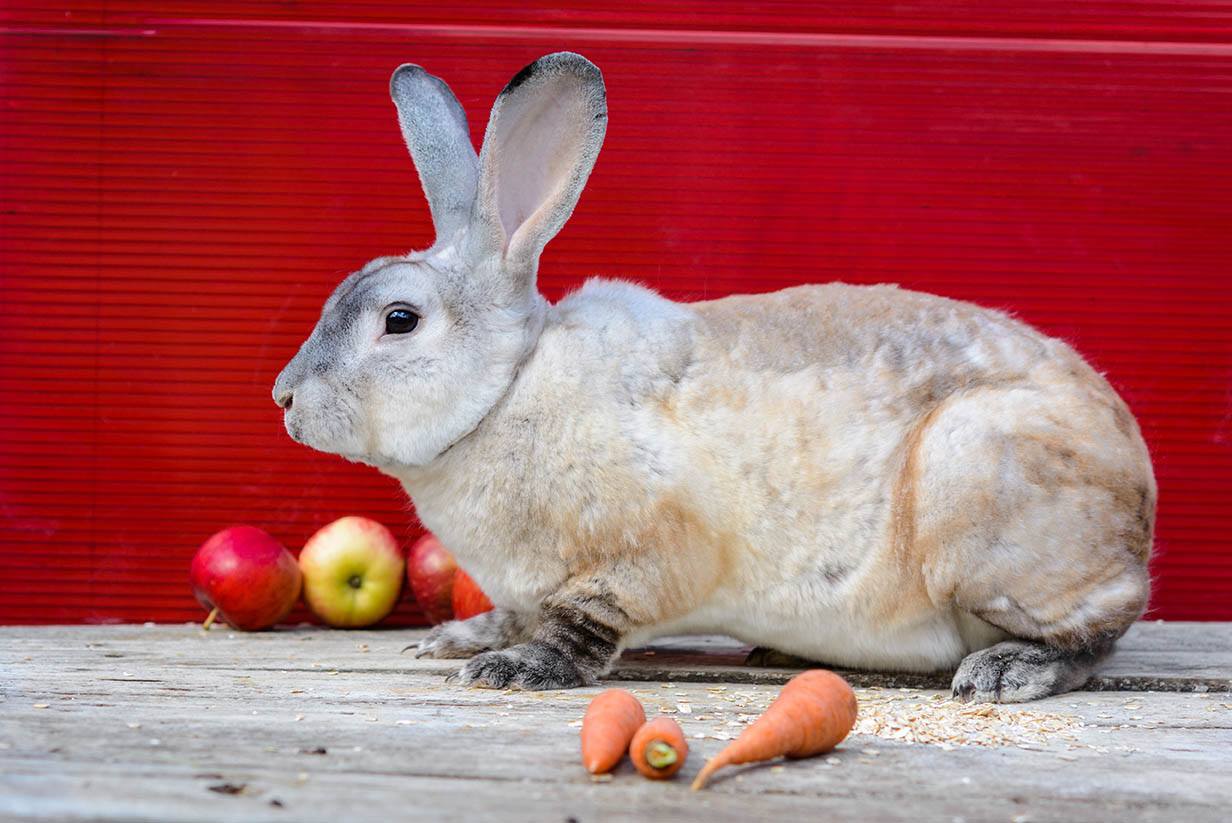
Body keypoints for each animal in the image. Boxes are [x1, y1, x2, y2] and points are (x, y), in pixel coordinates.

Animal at [273, 52, 1155, 702]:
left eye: (399, 319)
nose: (284, 398)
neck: (509, 391)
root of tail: (1138, 500)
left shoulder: (638, 558)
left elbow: (581, 625)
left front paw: (512, 667)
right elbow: (517, 610)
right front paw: (461, 636)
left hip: (979, 486)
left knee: (1095, 635)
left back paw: (1007, 670)